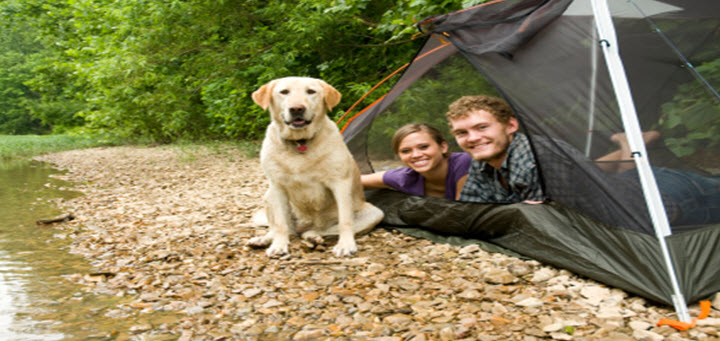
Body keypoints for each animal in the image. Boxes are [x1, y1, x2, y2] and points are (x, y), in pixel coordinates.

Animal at [246, 77, 382, 256]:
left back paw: (313, 237)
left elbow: (345, 220)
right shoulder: (277, 187)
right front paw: (279, 245)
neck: (299, 142)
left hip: (375, 213)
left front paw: (346, 245)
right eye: (284, 92)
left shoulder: (340, 183)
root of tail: (304, 226)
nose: (297, 108)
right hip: (269, 196)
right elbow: (280, 224)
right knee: (282, 228)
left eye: (311, 91)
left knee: (318, 231)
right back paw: (264, 239)